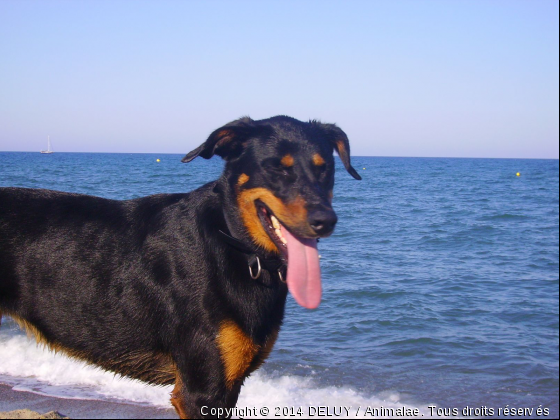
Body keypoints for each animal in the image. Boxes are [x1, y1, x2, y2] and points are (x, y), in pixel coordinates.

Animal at [0, 115, 360, 416]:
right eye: (276, 168)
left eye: (325, 168)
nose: (325, 221)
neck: (232, 243)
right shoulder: (201, 389)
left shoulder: (229, 385)